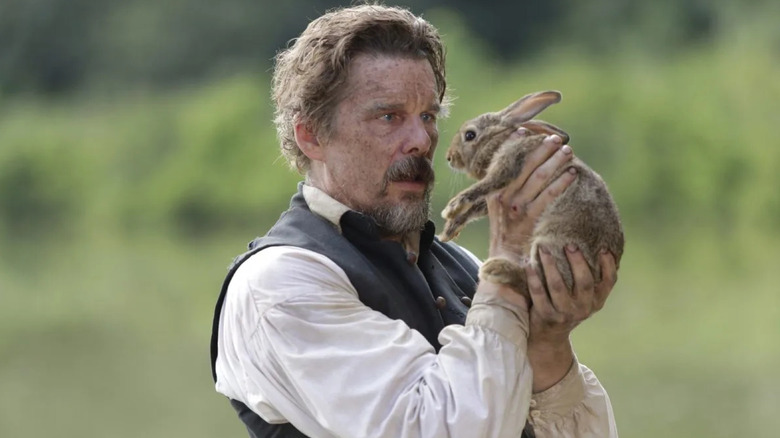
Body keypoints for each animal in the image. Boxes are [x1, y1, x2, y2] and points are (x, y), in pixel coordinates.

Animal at [439, 90, 624, 298]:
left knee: (538, 283)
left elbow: (483, 186)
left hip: (552, 245)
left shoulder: (509, 161)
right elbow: (475, 208)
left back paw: (497, 269)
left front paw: (451, 208)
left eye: (470, 135)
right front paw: (449, 230)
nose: (450, 157)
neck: (500, 139)